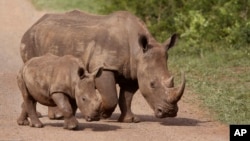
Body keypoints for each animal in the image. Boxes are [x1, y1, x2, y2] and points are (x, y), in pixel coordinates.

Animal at [20, 9, 186, 122]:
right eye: (152, 84)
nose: (170, 113)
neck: (138, 51)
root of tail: (34, 24)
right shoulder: (104, 66)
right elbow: (111, 95)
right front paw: (103, 115)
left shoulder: (134, 72)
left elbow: (127, 97)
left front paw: (130, 120)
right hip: (31, 40)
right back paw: (57, 116)